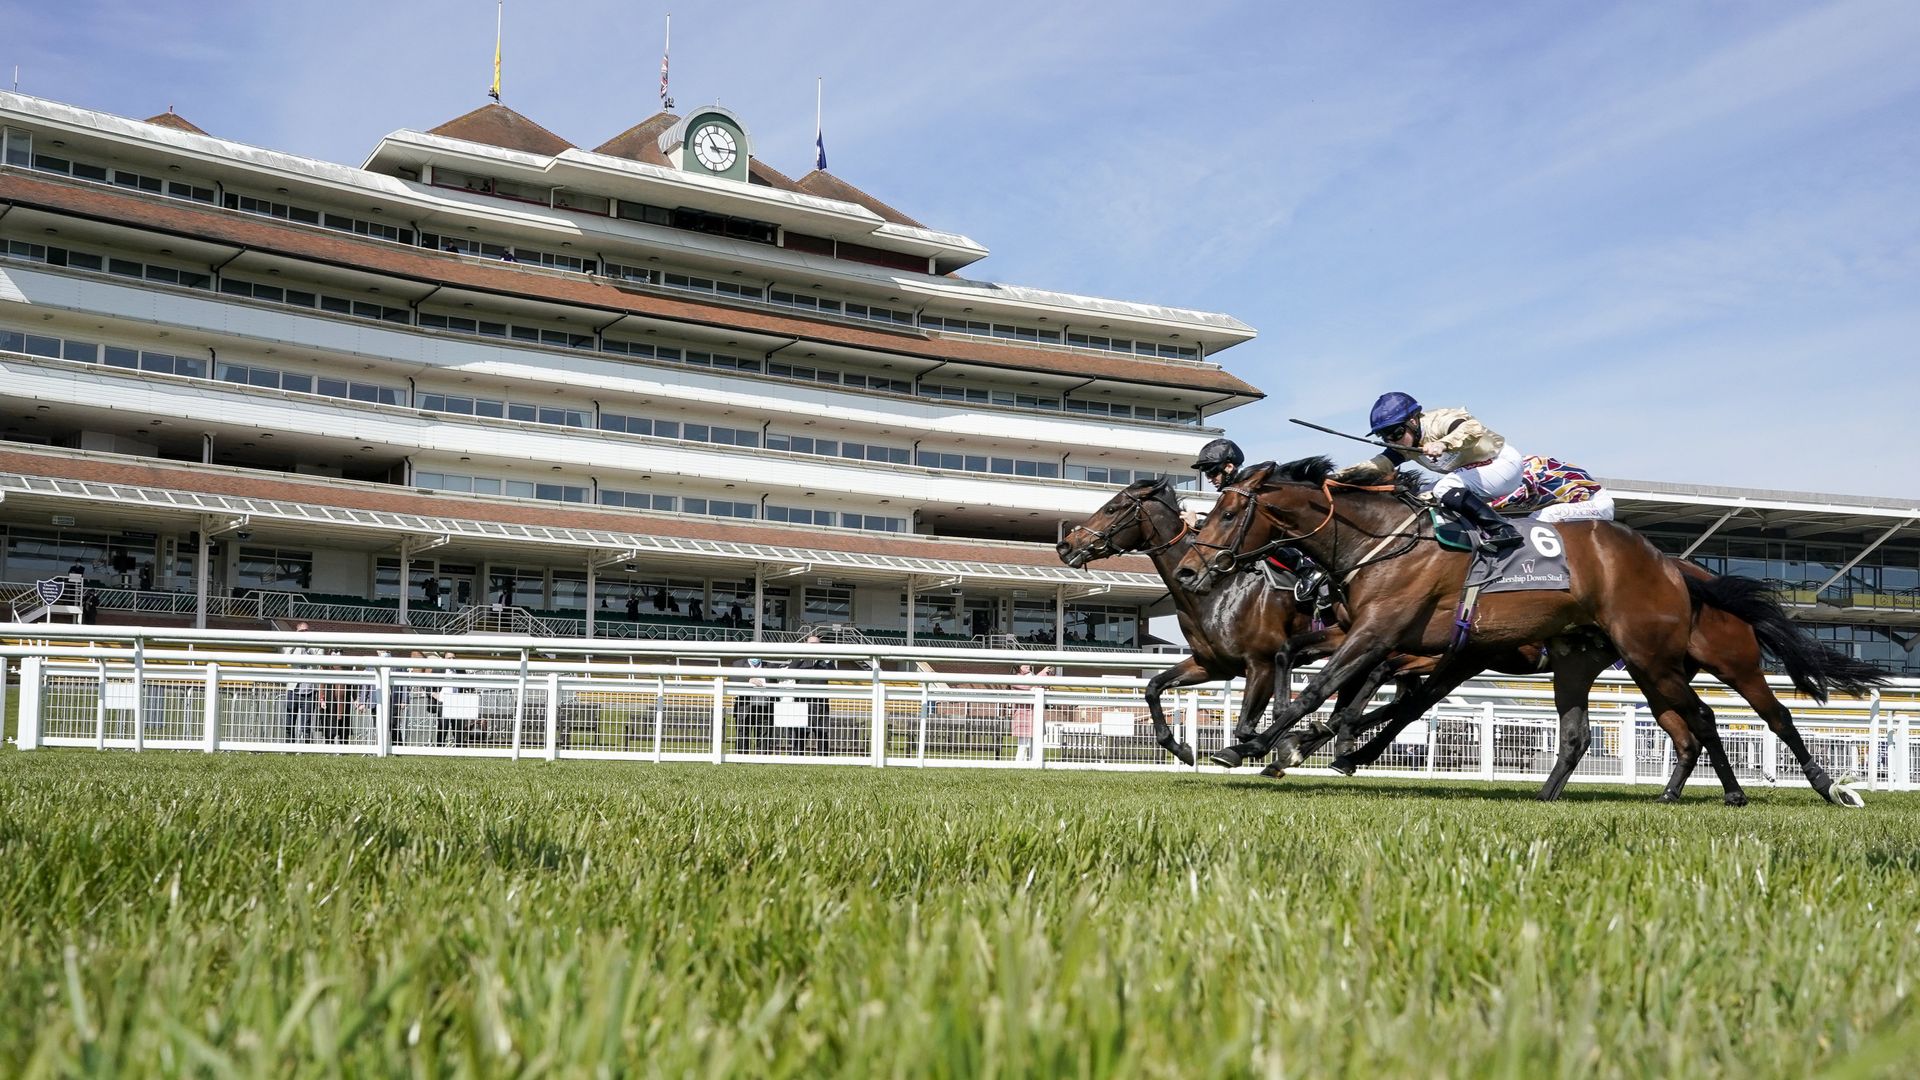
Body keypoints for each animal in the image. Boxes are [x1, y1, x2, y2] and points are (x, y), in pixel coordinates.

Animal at [1167, 453, 1758, 799]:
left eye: (1225, 514)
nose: (1189, 569)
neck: (1380, 540)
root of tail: (1670, 564)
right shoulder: (1413, 642)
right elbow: (1319, 673)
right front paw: (1287, 739)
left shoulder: (1381, 633)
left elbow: (1325, 691)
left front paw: (1261, 745)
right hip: (1601, 659)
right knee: (1594, 730)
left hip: (1651, 656)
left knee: (1707, 715)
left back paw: (1737, 791)